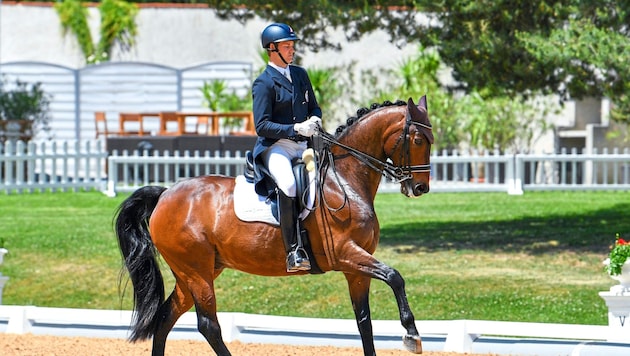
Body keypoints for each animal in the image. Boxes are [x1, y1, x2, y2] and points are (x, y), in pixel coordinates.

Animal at [115, 96, 434, 354]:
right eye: (419, 140)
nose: (420, 188)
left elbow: (364, 322)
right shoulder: (346, 254)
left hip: (195, 272)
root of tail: (165, 194)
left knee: (166, 317)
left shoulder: (355, 269)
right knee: (208, 325)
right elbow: (395, 276)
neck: (344, 181)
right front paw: (412, 335)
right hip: (197, 274)